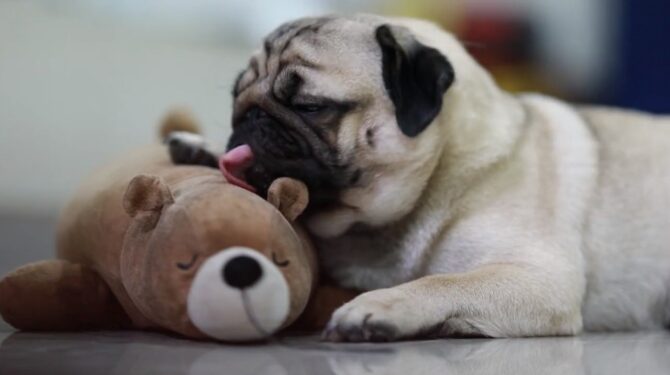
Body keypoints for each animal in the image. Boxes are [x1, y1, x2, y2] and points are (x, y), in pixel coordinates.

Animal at [171, 14, 670, 342]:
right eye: (237, 98)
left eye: (310, 106)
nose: (248, 119)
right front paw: (201, 146)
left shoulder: (538, 278)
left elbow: (444, 282)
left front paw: (377, 305)